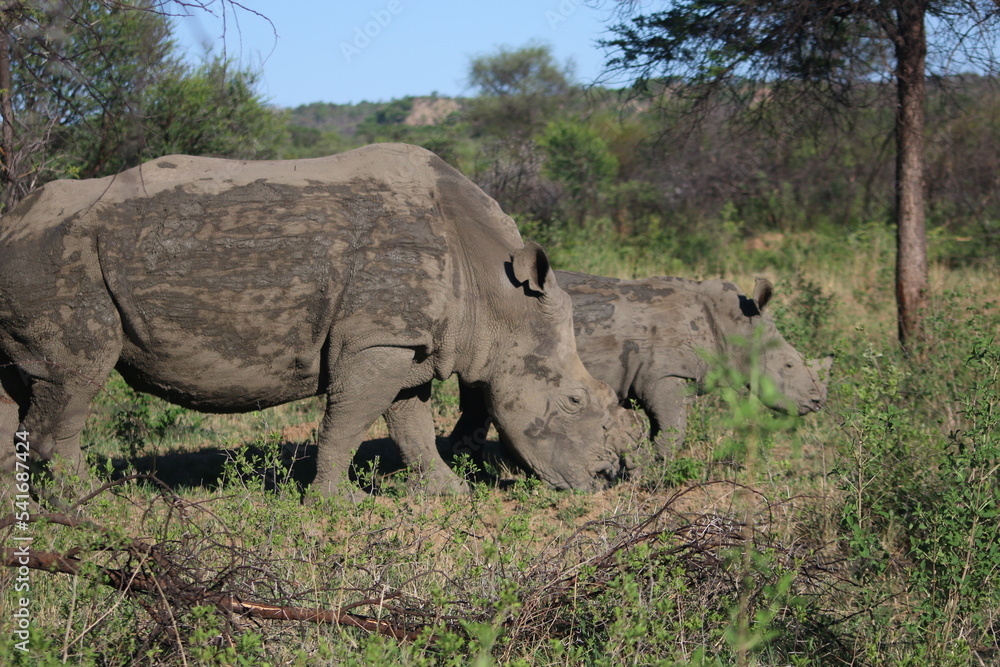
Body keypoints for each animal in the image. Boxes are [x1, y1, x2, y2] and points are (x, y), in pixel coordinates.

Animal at [0, 143, 640, 498]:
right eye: (575, 402)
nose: (605, 479)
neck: (498, 293)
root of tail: (14, 219)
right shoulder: (379, 339)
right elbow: (350, 420)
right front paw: (338, 504)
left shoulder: (404, 342)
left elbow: (409, 424)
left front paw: (449, 493)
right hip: (59, 256)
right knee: (78, 375)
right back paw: (90, 502)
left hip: (38, 258)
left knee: (20, 384)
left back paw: (20, 504)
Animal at [445, 271, 831, 461]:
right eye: (788, 365)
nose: (816, 402)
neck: (734, 323)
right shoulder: (666, 374)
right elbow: (674, 426)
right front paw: (652, 469)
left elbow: (663, 425)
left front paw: (643, 462)